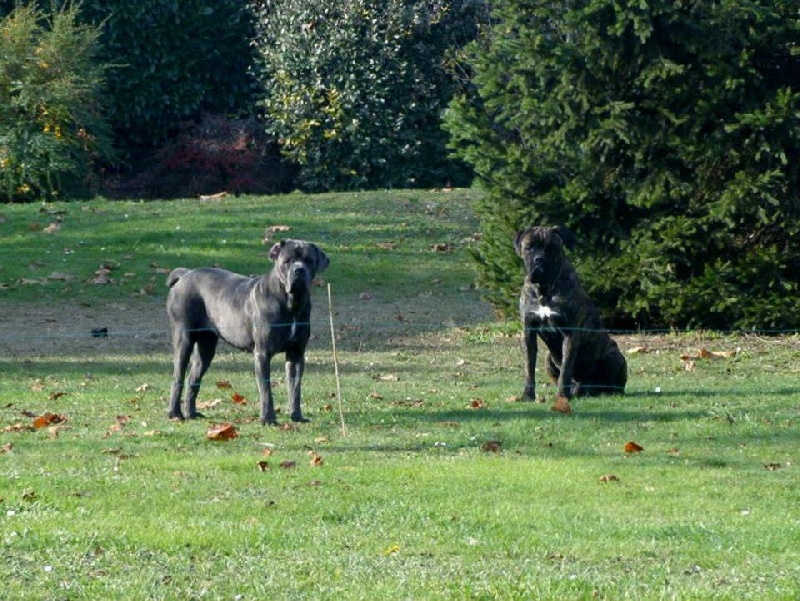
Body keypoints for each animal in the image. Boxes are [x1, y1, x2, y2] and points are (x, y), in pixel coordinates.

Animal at [166, 237, 328, 424]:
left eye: (309, 261)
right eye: (287, 261)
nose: (299, 270)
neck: (290, 302)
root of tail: (185, 274)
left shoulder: (296, 354)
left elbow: (295, 387)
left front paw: (297, 416)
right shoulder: (263, 353)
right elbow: (266, 389)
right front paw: (268, 419)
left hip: (206, 346)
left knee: (193, 378)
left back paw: (191, 412)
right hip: (184, 338)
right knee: (177, 377)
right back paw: (174, 413)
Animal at [516, 227, 628, 400]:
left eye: (551, 248)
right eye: (529, 247)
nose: (539, 259)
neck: (545, 289)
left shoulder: (570, 334)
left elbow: (566, 369)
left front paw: (562, 396)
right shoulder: (528, 331)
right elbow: (529, 368)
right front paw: (528, 396)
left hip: (614, 355)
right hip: (548, 358)